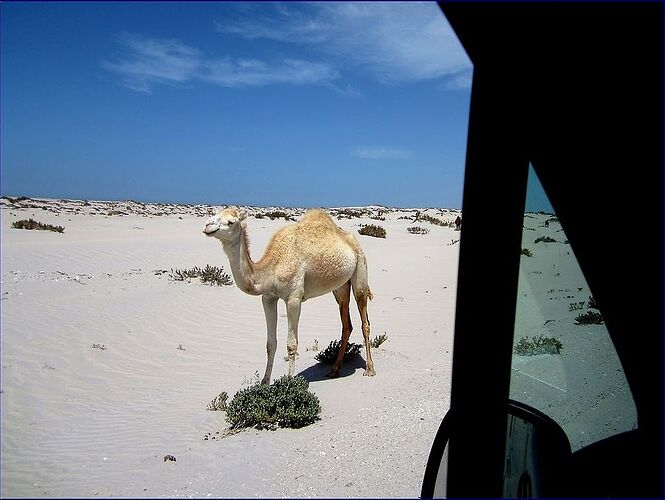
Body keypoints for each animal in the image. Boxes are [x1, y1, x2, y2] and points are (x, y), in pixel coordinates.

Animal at [202, 207, 376, 382]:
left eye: (231, 222)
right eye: (214, 215)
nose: (207, 226)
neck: (271, 268)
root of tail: (352, 240)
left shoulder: (294, 298)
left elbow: (291, 344)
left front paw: (290, 383)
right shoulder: (268, 298)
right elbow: (271, 344)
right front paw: (264, 383)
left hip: (360, 270)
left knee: (365, 321)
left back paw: (370, 369)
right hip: (340, 287)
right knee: (346, 324)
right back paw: (334, 370)